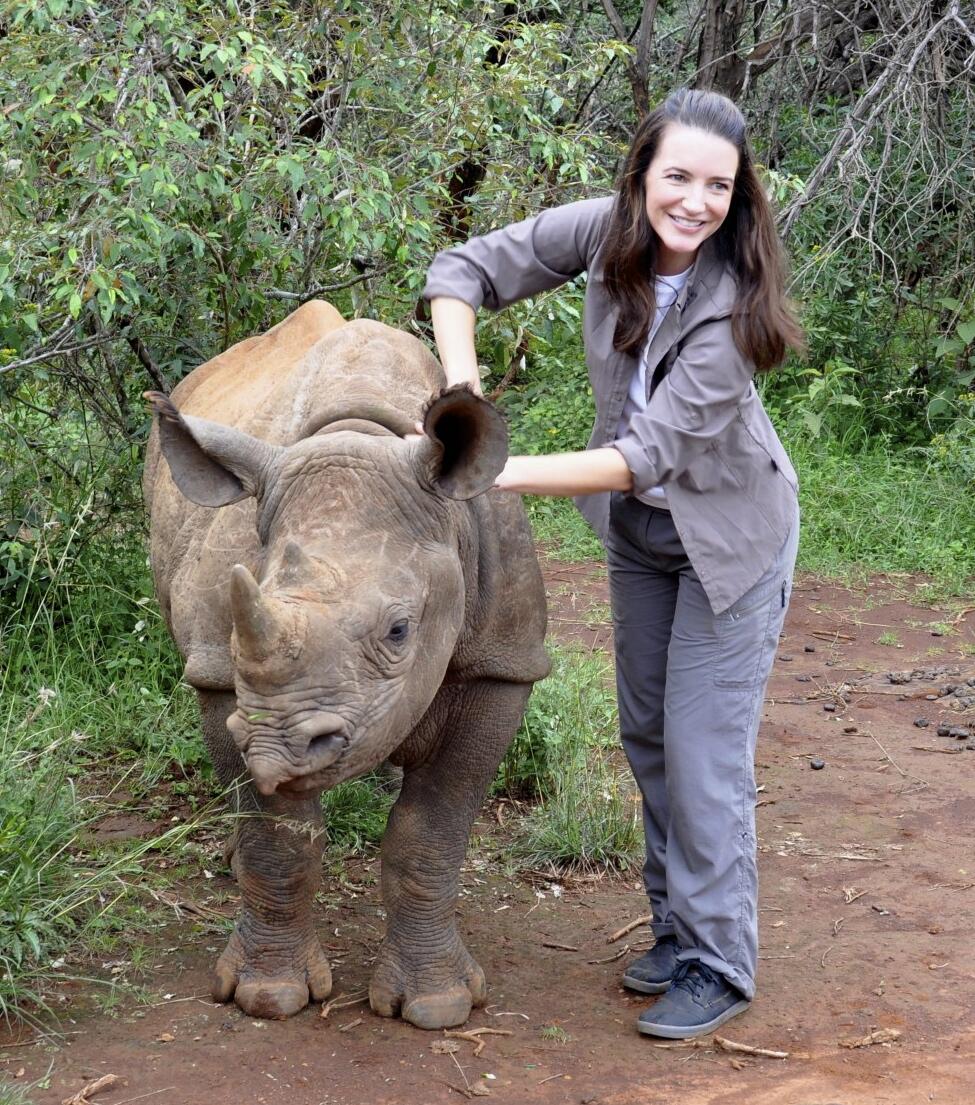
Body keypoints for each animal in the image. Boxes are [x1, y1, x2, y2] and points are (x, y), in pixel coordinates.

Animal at [143, 301, 549, 1028]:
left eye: (399, 630)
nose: (279, 747)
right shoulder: (226, 677)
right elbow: (279, 838)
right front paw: (268, 996)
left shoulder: (503, 663)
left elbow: (430, 833)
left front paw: (438, 1005)